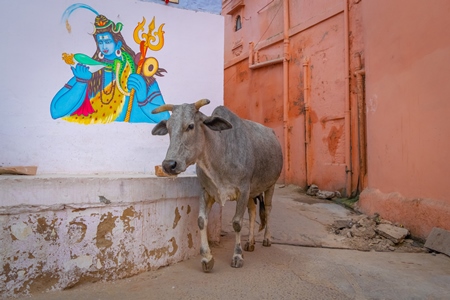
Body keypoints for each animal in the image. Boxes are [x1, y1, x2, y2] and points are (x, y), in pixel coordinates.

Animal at [153, 99, 284, 272]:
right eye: (168, 128)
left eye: (190, 126)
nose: (169, 165)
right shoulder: (206, 191)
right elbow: (201, 220)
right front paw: (207, 258)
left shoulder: (243, 190)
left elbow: (237, 223)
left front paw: (237, 256)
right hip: (252, 192)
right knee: (253, 211)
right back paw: (250, 243)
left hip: (270, 185)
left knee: (268, 210)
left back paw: (267, 238)